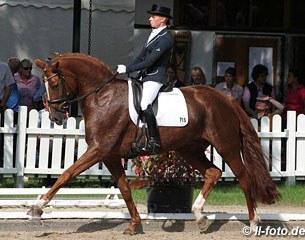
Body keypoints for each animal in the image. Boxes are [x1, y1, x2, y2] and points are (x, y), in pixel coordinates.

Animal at [29, 53, 280, 234]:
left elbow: (66, 174)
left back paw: (254, 222)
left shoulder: (99, 150)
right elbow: (124, 188)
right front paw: (134, 224)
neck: (102, 96)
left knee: (244, 177)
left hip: (226, 146)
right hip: (189, 149)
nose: (55, 118)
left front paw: (38, 208)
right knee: (213, 172)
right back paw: (199, 216)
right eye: (44, 84)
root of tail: (225, 99)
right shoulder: (110, 155)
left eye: (55, 84)